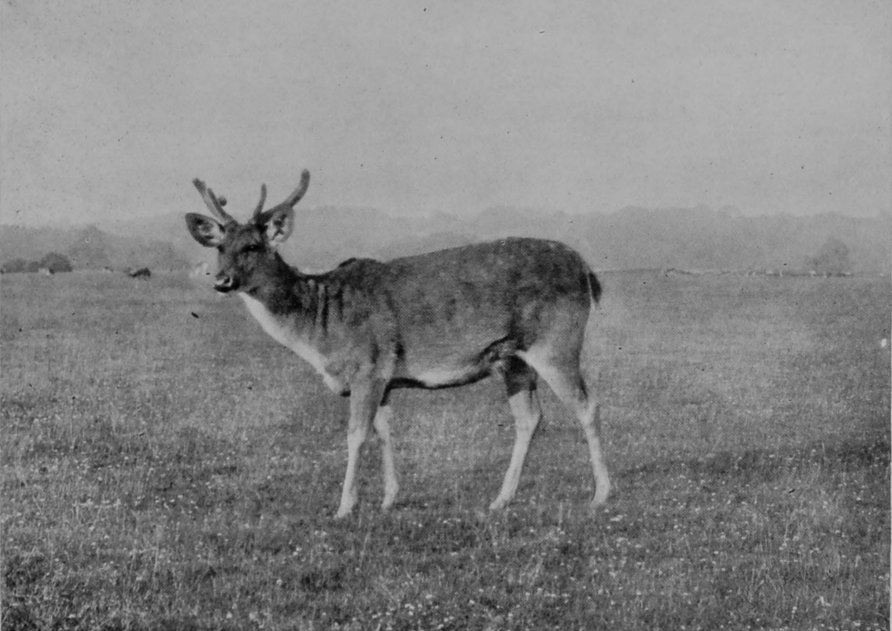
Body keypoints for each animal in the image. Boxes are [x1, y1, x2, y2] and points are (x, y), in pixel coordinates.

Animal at [185, 170, 610, 518]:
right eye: (220, 247)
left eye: (253, 246)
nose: (221, 281)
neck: (322, 325)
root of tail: (587, 271)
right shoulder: (386, 378)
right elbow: (384, 431)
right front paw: (389, 498)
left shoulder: (367, 367)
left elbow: (356, 435)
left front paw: (344, 506)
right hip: (512, 358)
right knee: (529, 417)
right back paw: (501, 499)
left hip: (556, 342)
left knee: (586, 404)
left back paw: (601, 494)